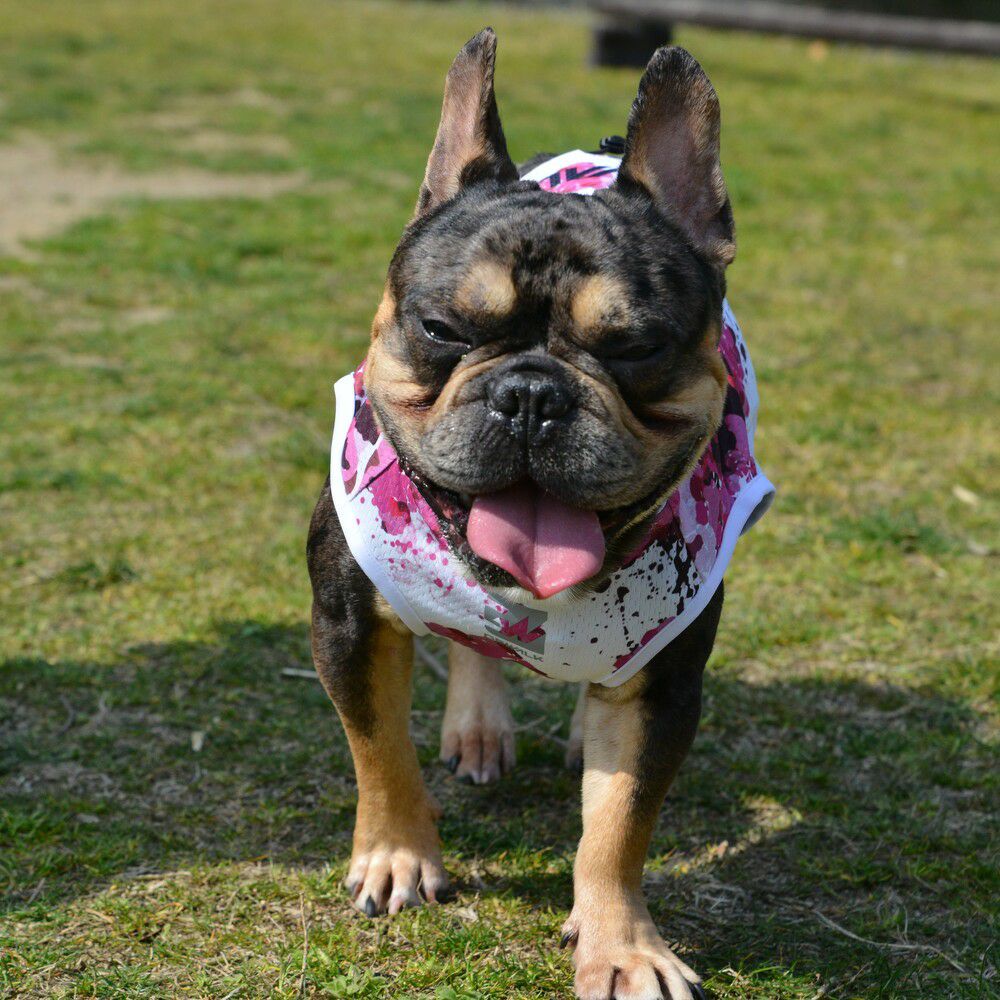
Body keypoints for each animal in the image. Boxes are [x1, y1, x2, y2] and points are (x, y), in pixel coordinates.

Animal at [308, 29, 773, 1000]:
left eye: (635, 346)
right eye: (443, 329)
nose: (531, 394)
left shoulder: (667, 680)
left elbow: (621, 823)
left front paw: (622, 945)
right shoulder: (346, 622)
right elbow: (379, 747)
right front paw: (397, 857)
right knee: (471, 649)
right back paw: (478, 726)